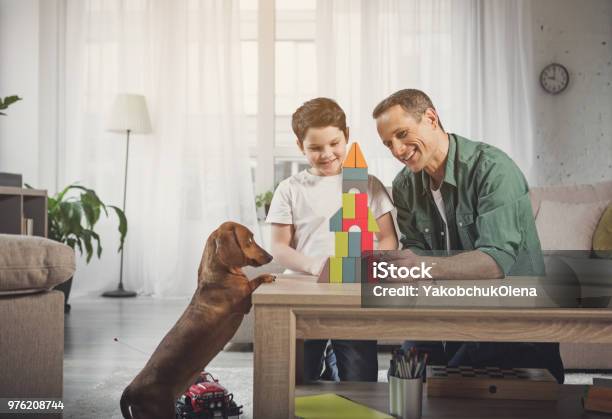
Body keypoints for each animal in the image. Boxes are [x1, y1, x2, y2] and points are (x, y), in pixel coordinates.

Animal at [119, 221, 272, 418]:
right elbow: (254, 282)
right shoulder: (244, 302)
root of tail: (130, 390)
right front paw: (266, 276)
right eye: (250, 239)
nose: (271, 256)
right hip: (161, 411)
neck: (220, 274)